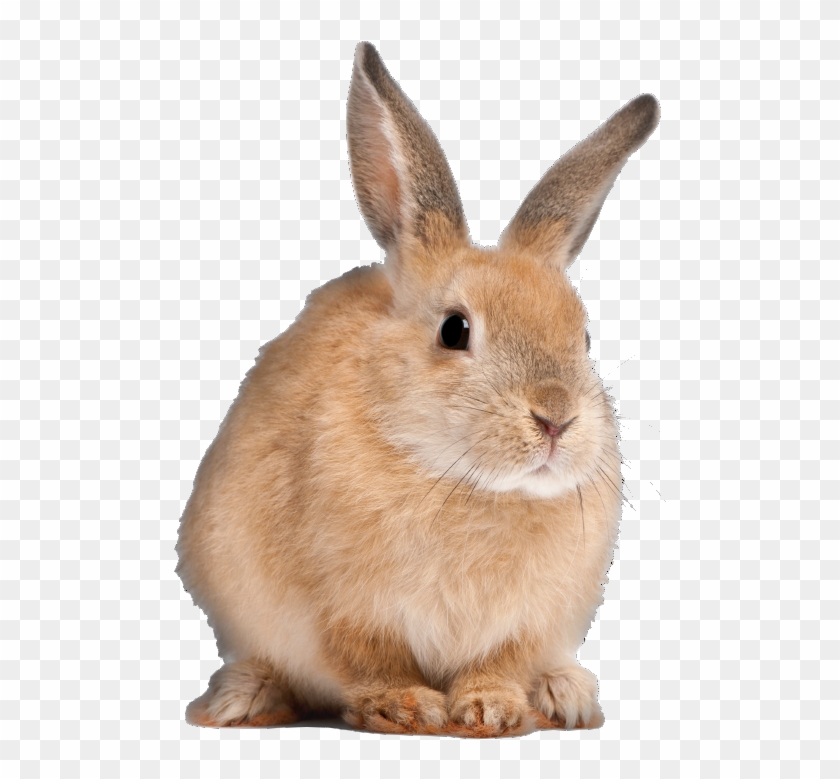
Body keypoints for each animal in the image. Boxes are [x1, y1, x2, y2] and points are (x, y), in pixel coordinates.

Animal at [176, 41, 659, 737]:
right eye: (455, 330)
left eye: (585, 338)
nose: (555, 419)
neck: (462, 481)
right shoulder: (343, 612)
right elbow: (370, 662)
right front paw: (405, 706)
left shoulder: (524, 625)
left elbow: (498, 665)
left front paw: (492, 710)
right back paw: (240, 700)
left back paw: (566, 695)